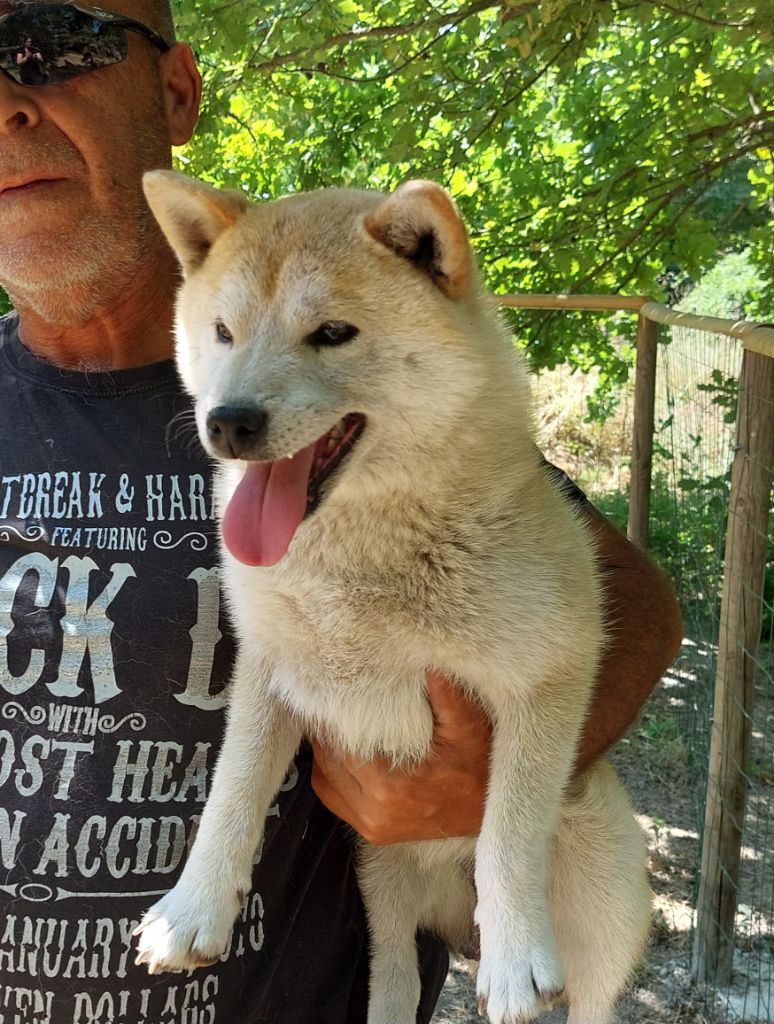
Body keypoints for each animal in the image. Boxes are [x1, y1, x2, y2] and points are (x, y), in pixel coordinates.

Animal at [136, 174, 651, 1024]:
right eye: (223, 332)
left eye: (332, 333)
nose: (228, 422)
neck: (357, 568)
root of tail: (453, 913)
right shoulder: (269, 671)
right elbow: (231, 794)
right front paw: (192, 912)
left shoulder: (549, 674)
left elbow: (508, 831)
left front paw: (514, 960)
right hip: (379, 879)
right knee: (396, 971)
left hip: (608, 880)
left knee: (592, 1000)